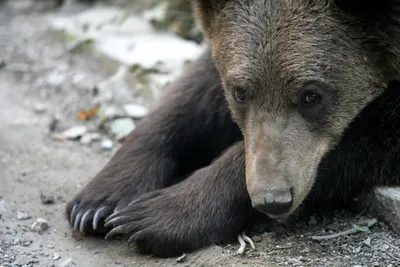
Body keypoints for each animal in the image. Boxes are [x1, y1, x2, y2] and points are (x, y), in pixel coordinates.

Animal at [65, 0, 400, 260]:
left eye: (312, 95)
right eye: (240, 92)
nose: (272, 199)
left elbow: (368, 134)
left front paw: (151, 215)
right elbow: (193, 96)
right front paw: (96, 204)